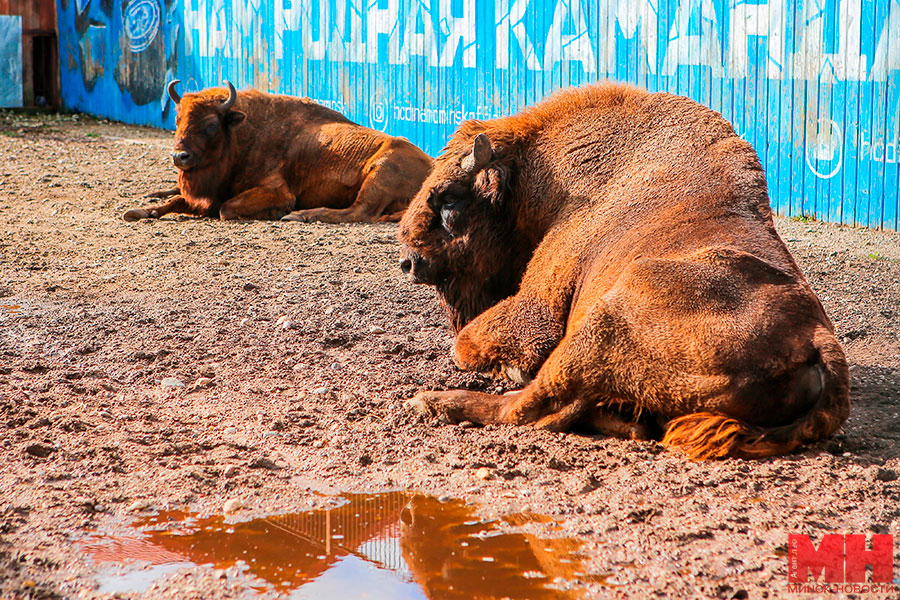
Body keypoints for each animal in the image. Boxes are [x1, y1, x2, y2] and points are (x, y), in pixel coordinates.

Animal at [124, 82, 432, 225]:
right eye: (177, 119)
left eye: (211, 124)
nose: (180, 157)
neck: (243, 134)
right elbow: (177, 200)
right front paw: (139, 210)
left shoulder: (277, 191)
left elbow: (226, 209)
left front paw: (276, 212)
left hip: (380, 172)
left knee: (359, 211)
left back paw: (300, 215)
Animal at [400, 82, 852, 460]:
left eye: (448, 199)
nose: (409, 261)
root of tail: (817, 338)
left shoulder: (538, 303)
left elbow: (465, 345)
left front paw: (506, 366)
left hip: (609, 316)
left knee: (531, 407)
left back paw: (432, 401)